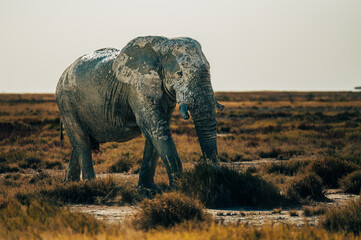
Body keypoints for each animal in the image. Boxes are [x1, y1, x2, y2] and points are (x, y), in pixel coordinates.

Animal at [55, 36, 222, 189]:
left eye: (209, 69)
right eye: (179, 74)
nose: (212, 174)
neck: (162, 45)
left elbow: (156, 129)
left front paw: (148, 190)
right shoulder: (136, 88)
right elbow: (154, 125)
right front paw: (180, 188)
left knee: (79, 144)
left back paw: (70, 183)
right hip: (66, 102)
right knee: (82, 141)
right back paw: (90, 185)